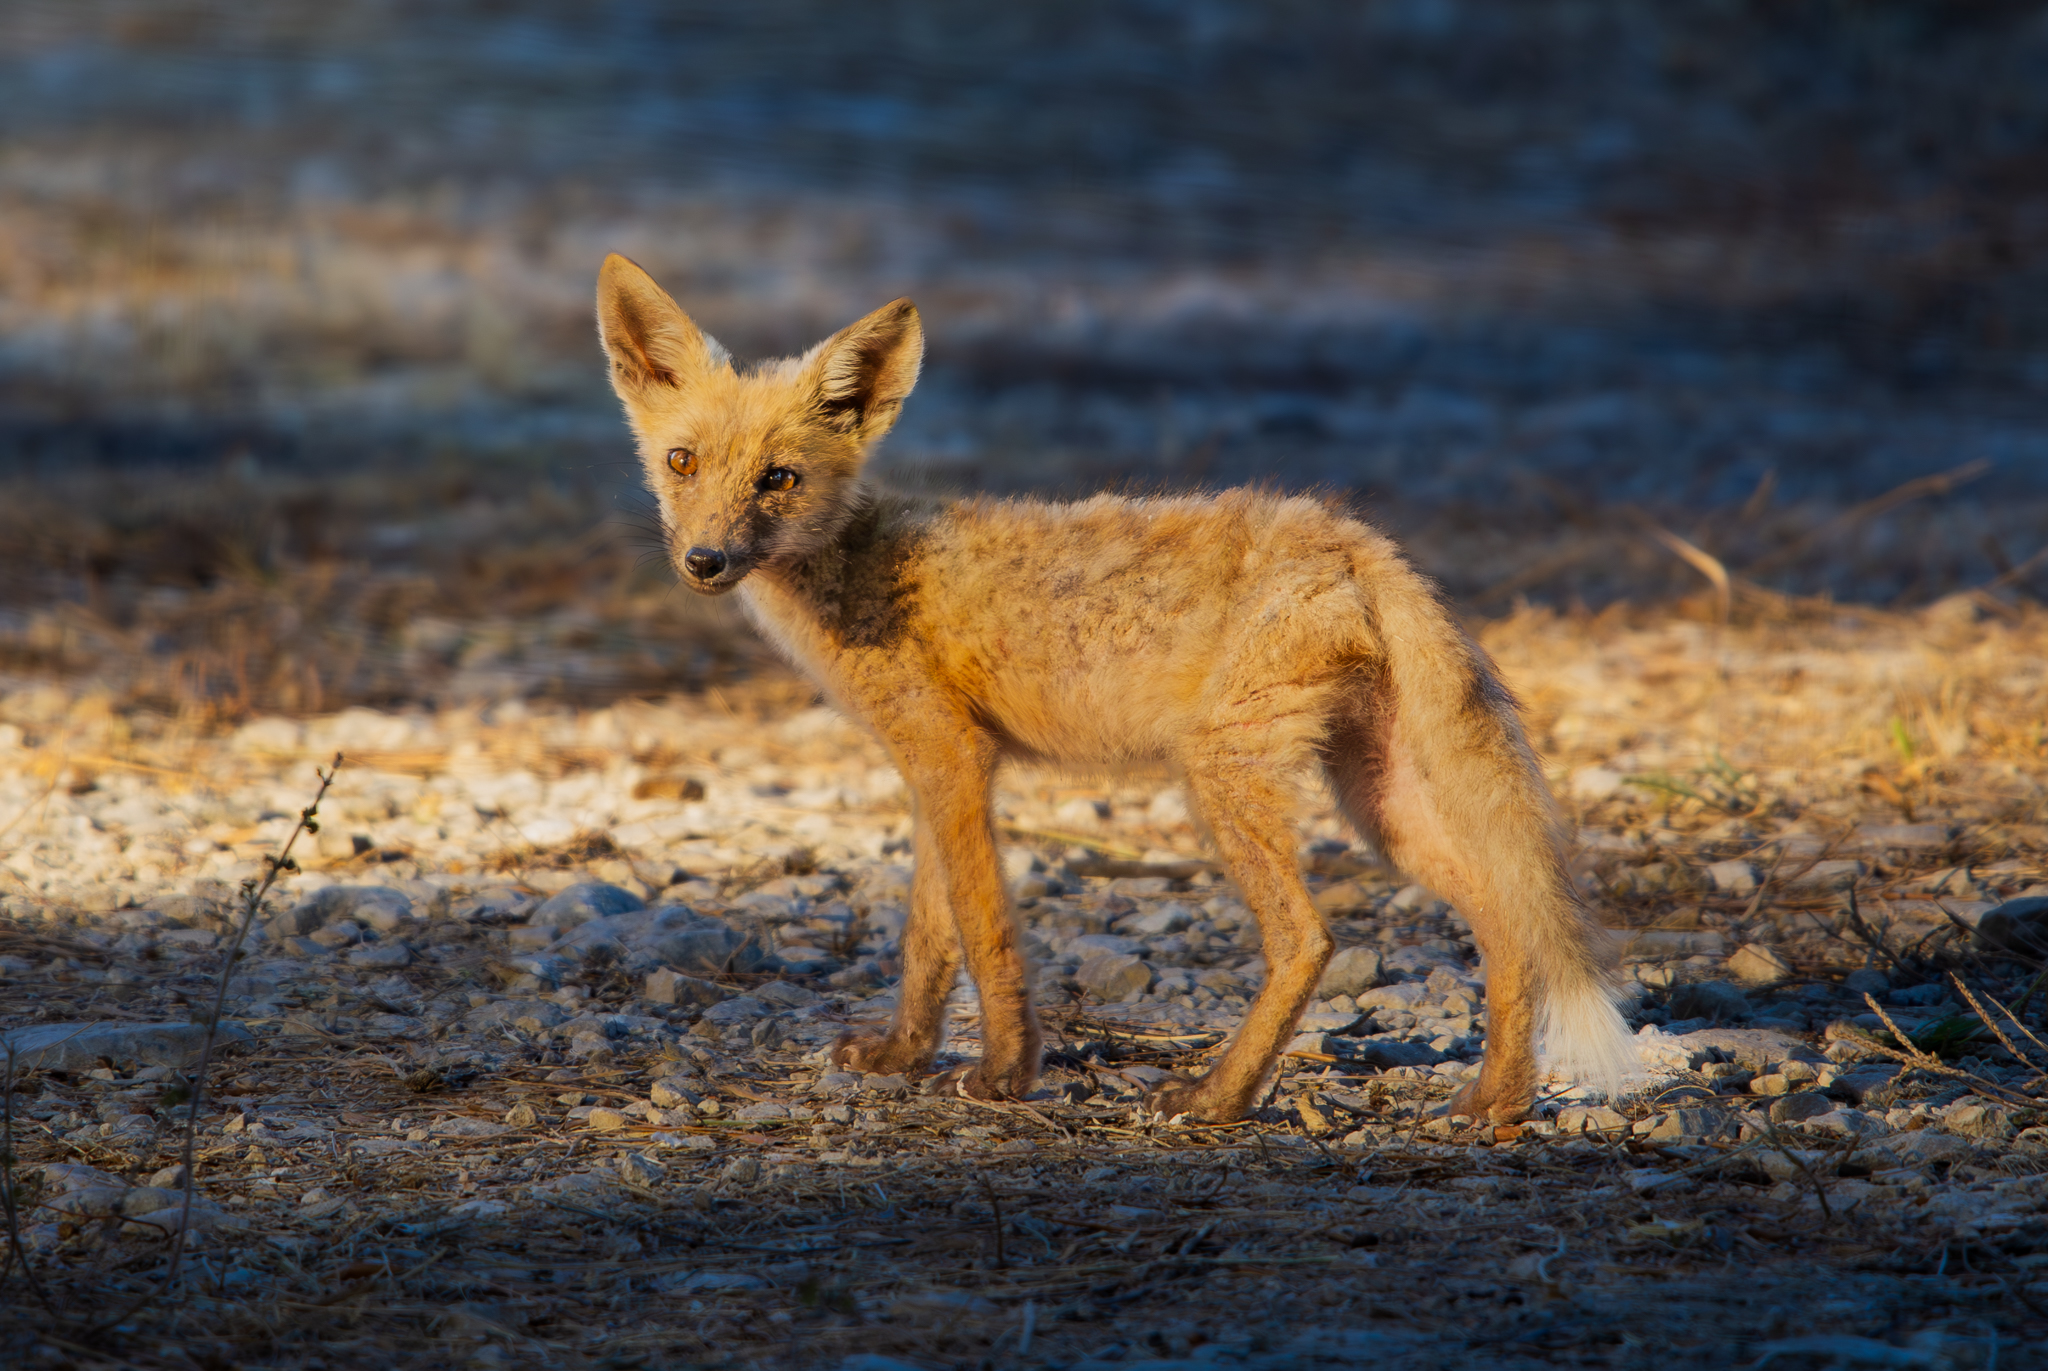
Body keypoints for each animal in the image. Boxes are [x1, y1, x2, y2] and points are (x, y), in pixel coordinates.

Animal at [595, 252, 1637, 1125]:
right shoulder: (935, 770)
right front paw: (902, 1055)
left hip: (1222, 779)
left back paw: (1218, 1097)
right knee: (1508, 919)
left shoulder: (953, 758)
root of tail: (1348, 534)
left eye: (779, 478)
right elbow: (929, 937)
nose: (704, 560)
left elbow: (984, 931)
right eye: (683, 462)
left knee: (1309, 937)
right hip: (1378, 800)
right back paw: (1496, 1102)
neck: (861, 572)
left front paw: (1004, 1073)